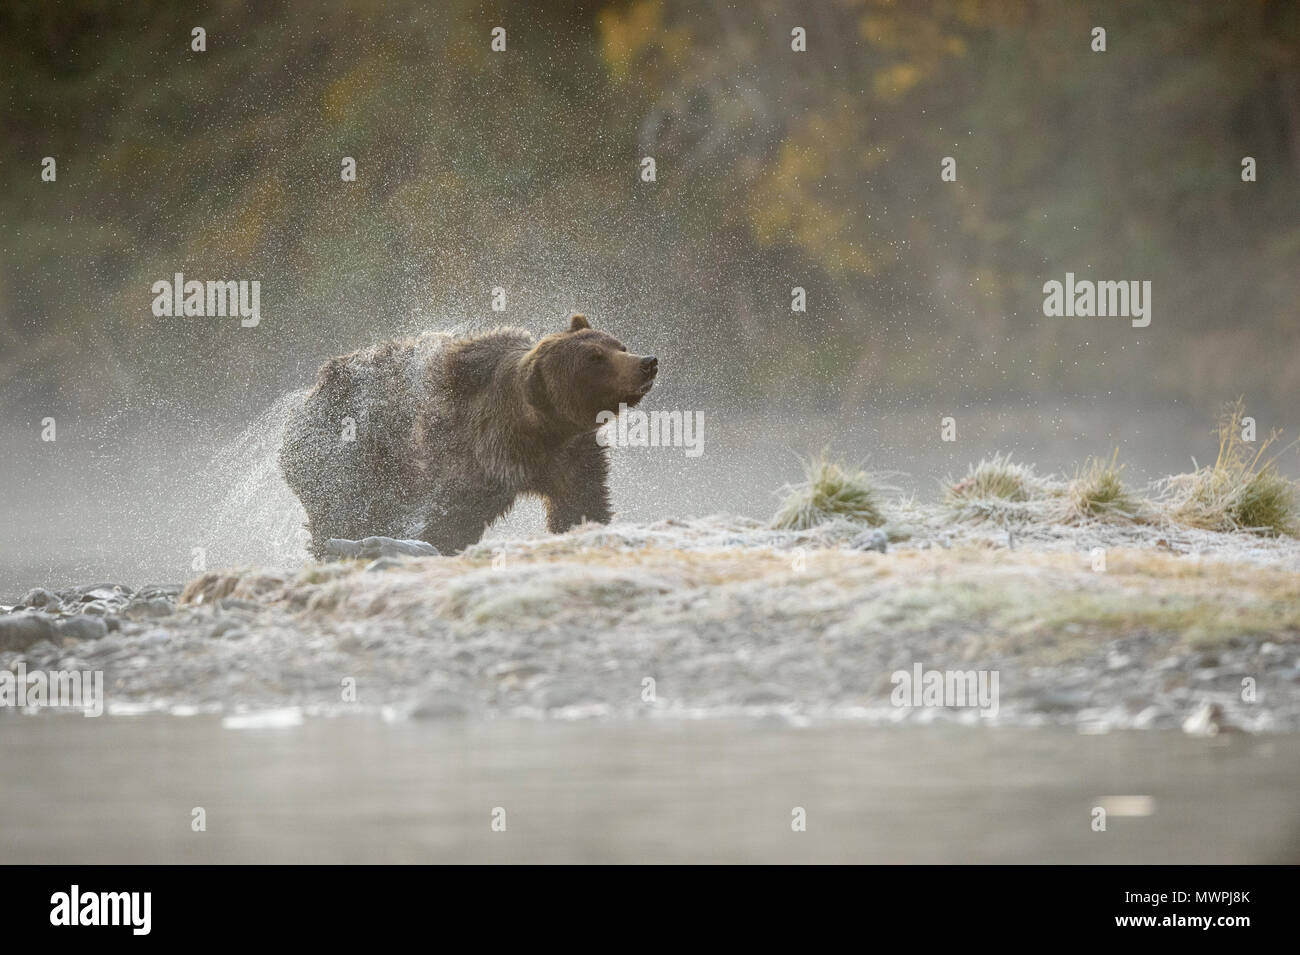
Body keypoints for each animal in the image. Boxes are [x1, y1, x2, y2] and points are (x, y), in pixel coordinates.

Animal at [278, 315, 655, 553]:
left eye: (619, 345)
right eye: (595, 357)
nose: (646, 362)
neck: (535, 430)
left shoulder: (571, 455)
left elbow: (582, 502)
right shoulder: (469, 458)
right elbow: (451, 519)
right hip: (344, 461)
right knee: (343, 513)